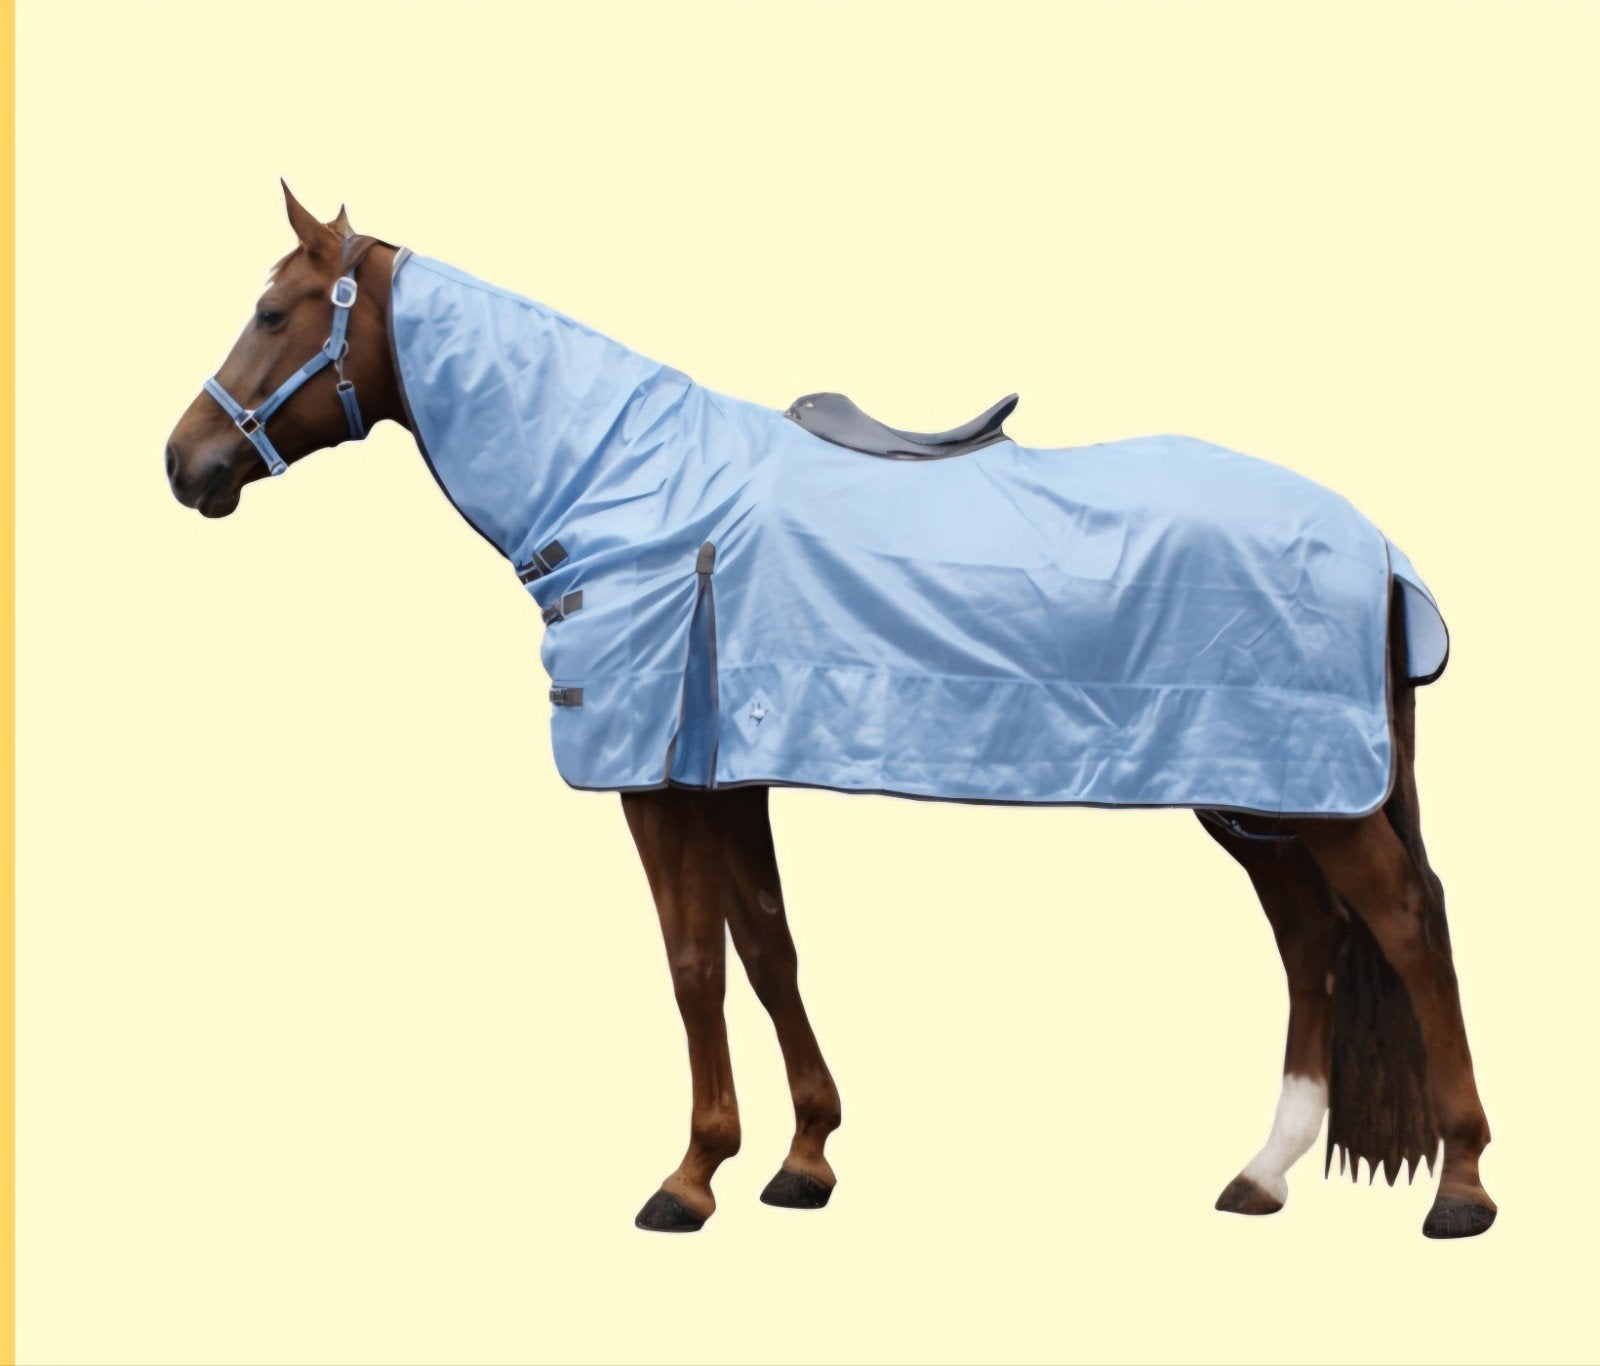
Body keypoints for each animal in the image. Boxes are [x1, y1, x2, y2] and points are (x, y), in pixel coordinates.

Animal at [164, 184, 1495, 1239]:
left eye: (274, 314)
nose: (184, 465)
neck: (630, 481)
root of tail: (1375, 544)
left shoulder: (652, 781)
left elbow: (694, 964)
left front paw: (690, 1176)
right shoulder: (723, 770)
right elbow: (766, 947)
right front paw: (802, 1159)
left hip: (1309, 792)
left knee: (1404, 924)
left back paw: (1463, 1185)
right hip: (1255, 793)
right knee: (1312, 940)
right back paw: (1264, 1172)